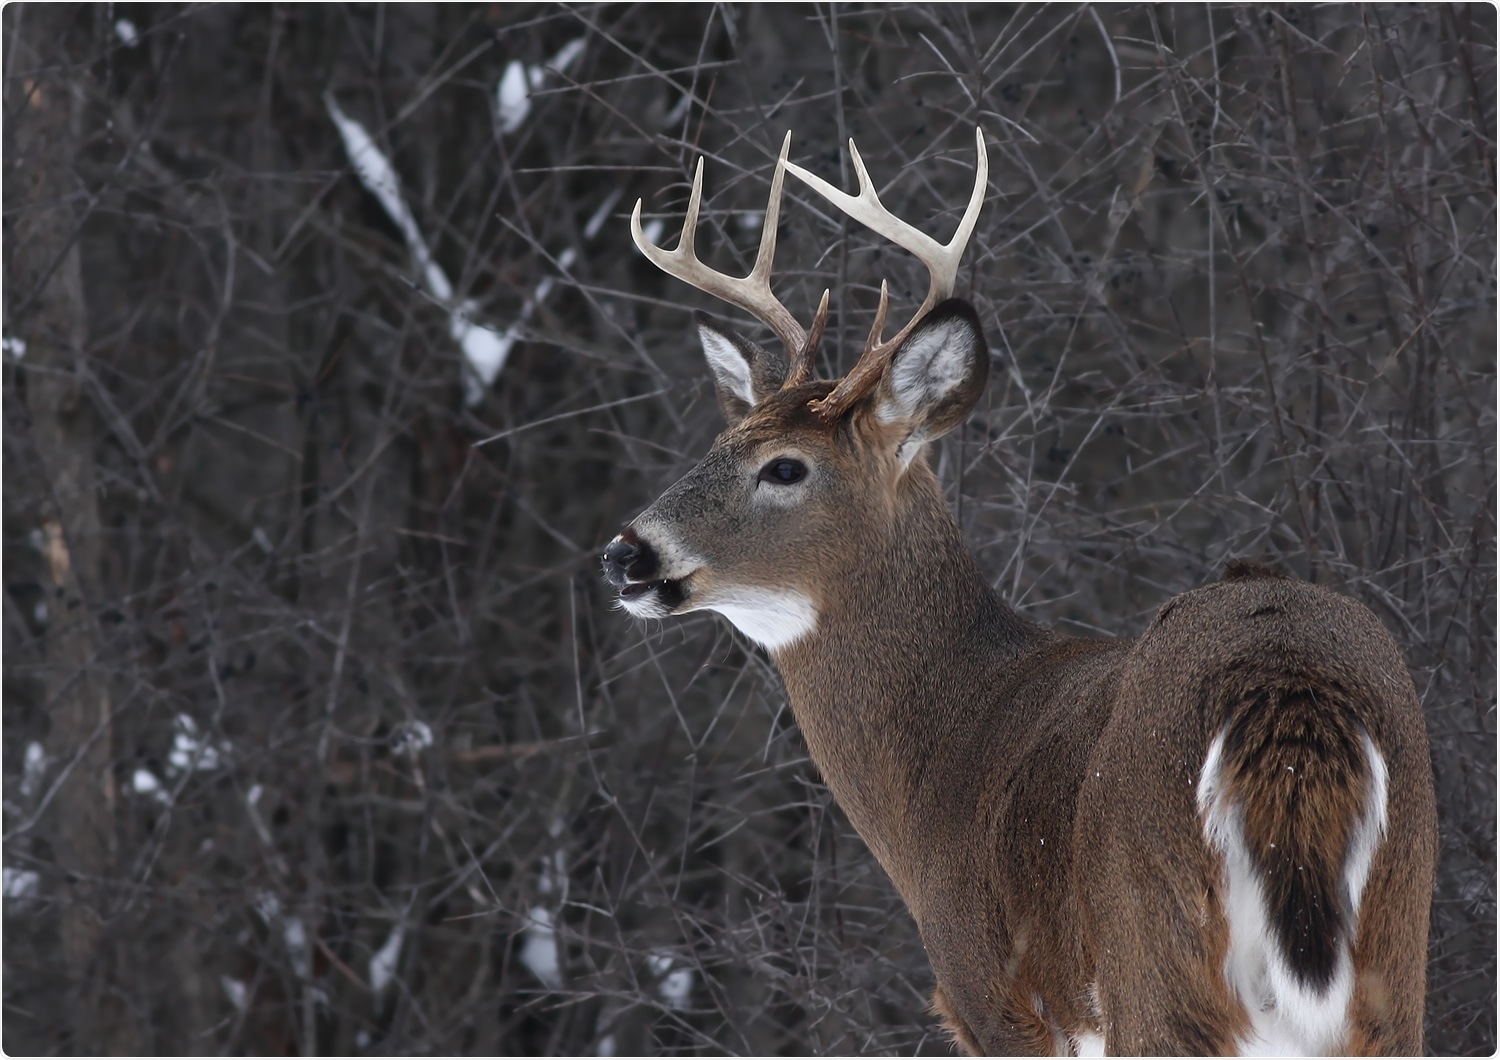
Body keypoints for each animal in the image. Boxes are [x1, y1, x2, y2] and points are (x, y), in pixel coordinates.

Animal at [602, 128, 1438, 1056]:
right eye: (721, 442)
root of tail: (1286, 690)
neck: (943, 756)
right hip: (1394, 960)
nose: (625, 554)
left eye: (784, 467)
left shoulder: (990, 996)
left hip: (1156, 960)